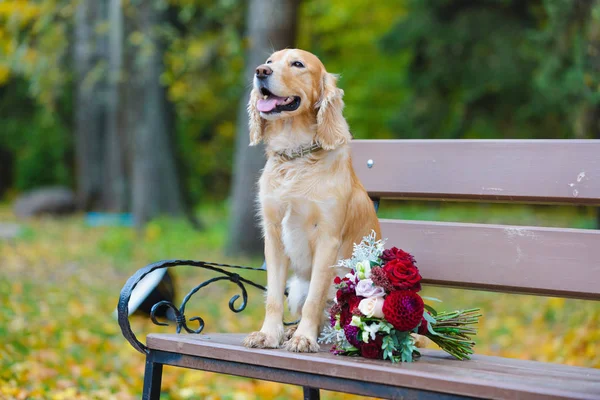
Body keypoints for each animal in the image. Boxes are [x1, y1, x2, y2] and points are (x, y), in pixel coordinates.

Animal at [243, 49, 380, 354]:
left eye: (298, 64)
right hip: (296, 286)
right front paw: (268, 334)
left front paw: (304, 338)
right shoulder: (273, 235)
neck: (296, 156)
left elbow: (314, 301)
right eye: (269, 62)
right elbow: (273, 297)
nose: (260, 72)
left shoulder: (328, 237)